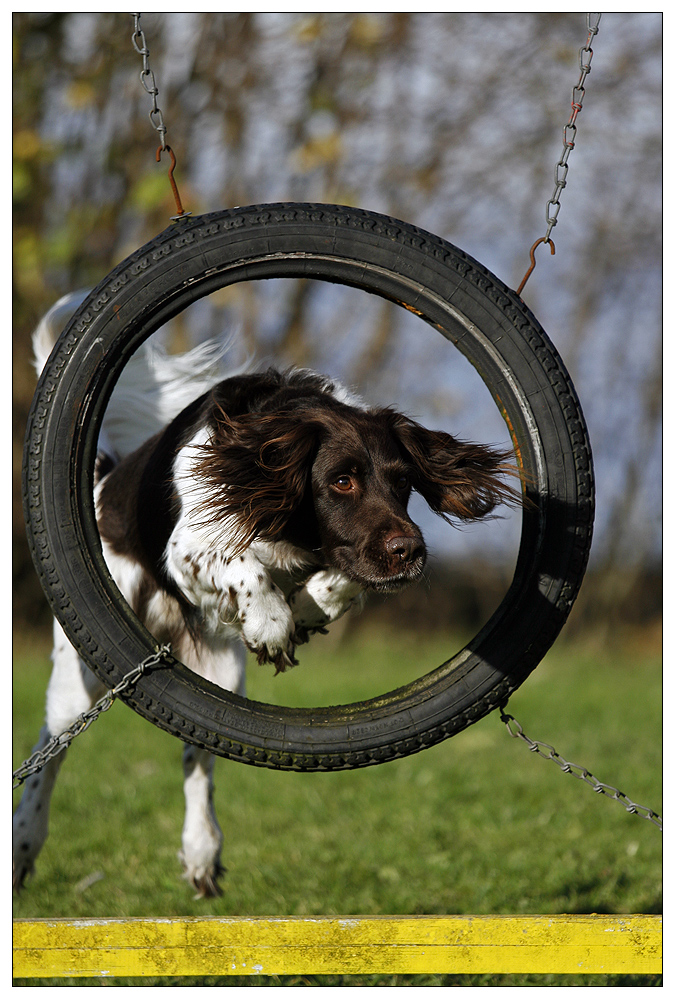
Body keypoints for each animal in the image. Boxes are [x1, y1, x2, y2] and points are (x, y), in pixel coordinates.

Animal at [11, 292, 516, 900]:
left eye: (402, 482)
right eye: (341, 481)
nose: (411, 551)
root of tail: (102, 485)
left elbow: (337, 579)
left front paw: (304, 611)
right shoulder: (186, 545)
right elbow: (241, 561)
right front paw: (273, 622)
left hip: (219, 674)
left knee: (198, 756)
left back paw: (202, 850)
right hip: (80, 675)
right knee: (50, 749)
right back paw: (22, 842)